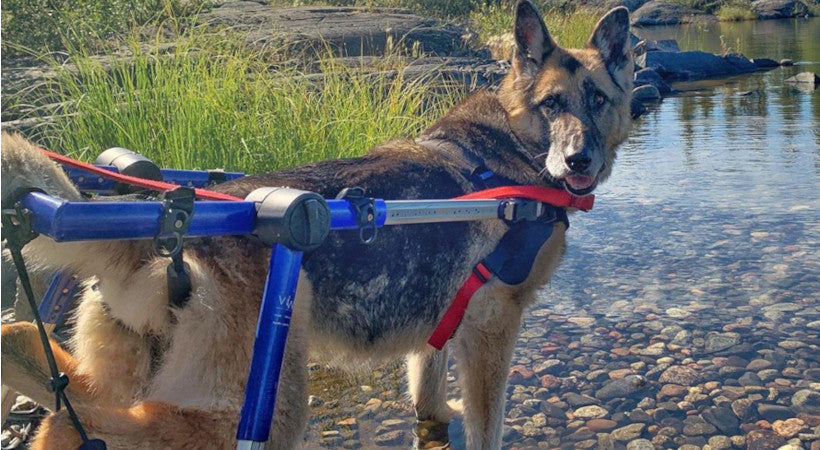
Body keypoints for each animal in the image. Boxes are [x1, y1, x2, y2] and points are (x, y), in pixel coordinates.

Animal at [0, 1, 636, 448]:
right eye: (553, 104)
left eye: (598, 99)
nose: (578, 162)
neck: (515, 144)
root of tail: (158, 237)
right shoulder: (492, 331)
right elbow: (488, 426)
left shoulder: (437, 326)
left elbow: (427, 392)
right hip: (264, 412)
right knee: (83, 422)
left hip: (133, 375)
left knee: (49, 375)